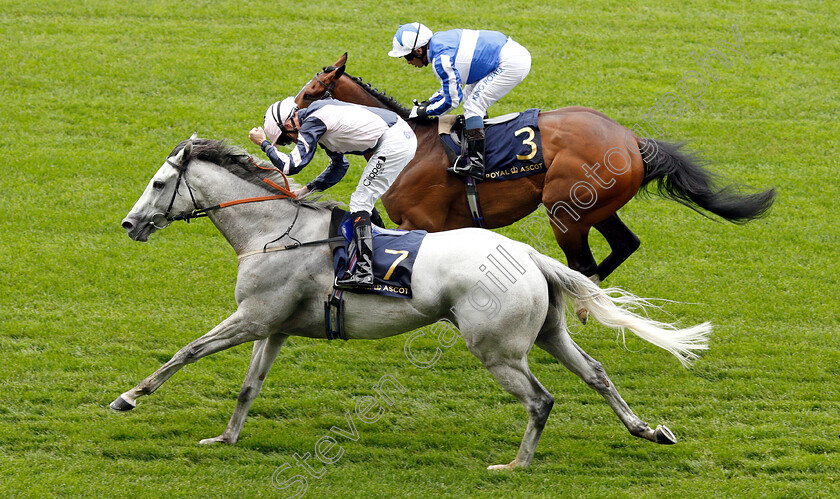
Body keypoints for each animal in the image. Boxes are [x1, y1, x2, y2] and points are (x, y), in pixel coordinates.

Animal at [115, 138, 712, 472]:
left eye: (160, 183)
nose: (129, 224)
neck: (273, 232)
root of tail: (527, 253)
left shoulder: (253, 317)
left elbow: (188, 351)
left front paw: (129, 397)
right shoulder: (274, 326)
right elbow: (248, 387)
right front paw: (226, 437)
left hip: (497, 350)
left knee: (541, 400)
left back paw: (515, 465)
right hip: (548, 333)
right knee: (596, 373)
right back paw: (646, 430)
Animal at [294, 54, 776, 286]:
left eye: (309, 94)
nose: (285, 125)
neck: (410, 142)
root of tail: (631, 140)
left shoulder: (421, 222)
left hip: (565, 210)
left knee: (583, 262)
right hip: (597, 207)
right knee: (625, 244)